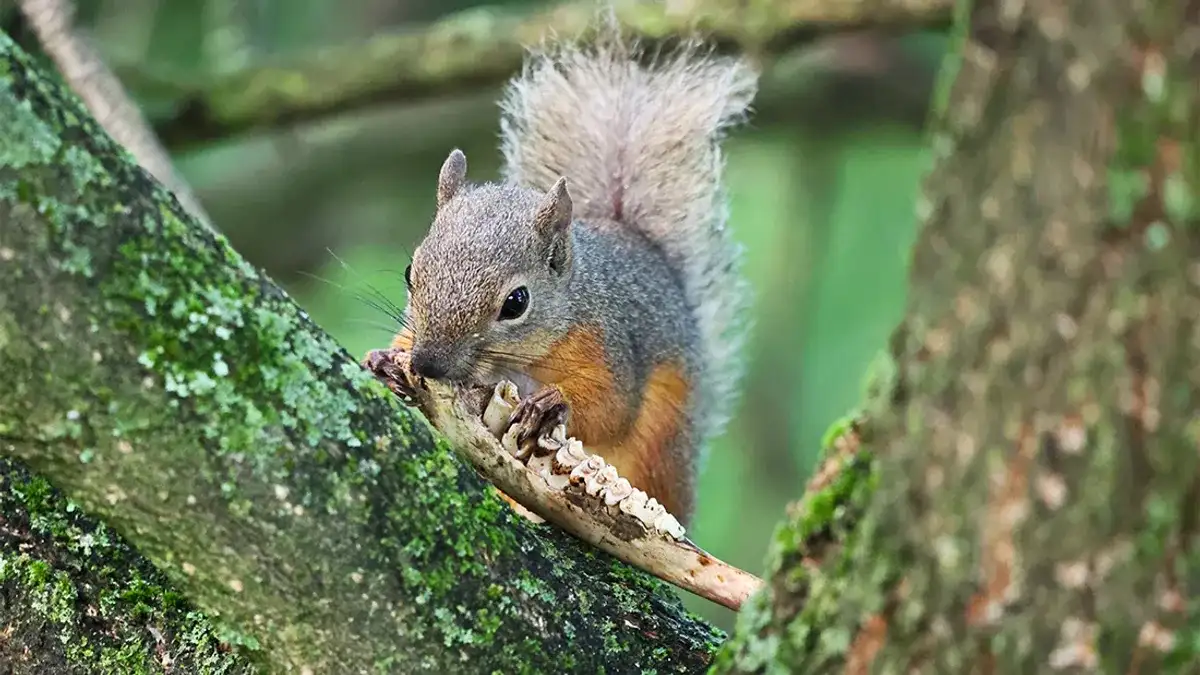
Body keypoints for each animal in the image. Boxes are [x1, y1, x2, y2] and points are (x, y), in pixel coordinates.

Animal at [388, 23, 753, 523]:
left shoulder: (606, 341)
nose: (428, 364)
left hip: (662, 447)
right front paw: (386, 358)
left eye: (516, 302)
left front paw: (551, 403)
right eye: (411, 271)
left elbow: (611, 408)